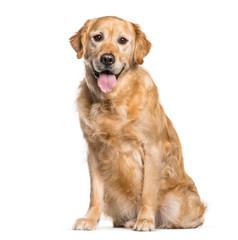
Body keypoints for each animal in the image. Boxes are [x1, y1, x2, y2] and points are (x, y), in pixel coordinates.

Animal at [69, 15, 205, 231]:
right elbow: (95, 194)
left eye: (122, 40)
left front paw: (145, 220)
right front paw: (90, 220)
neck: (112, 102)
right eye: (97, 37)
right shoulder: (94, 150)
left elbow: (148, 191)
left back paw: (150, 221)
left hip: (178, 202)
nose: (107, 59)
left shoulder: (151, 148)